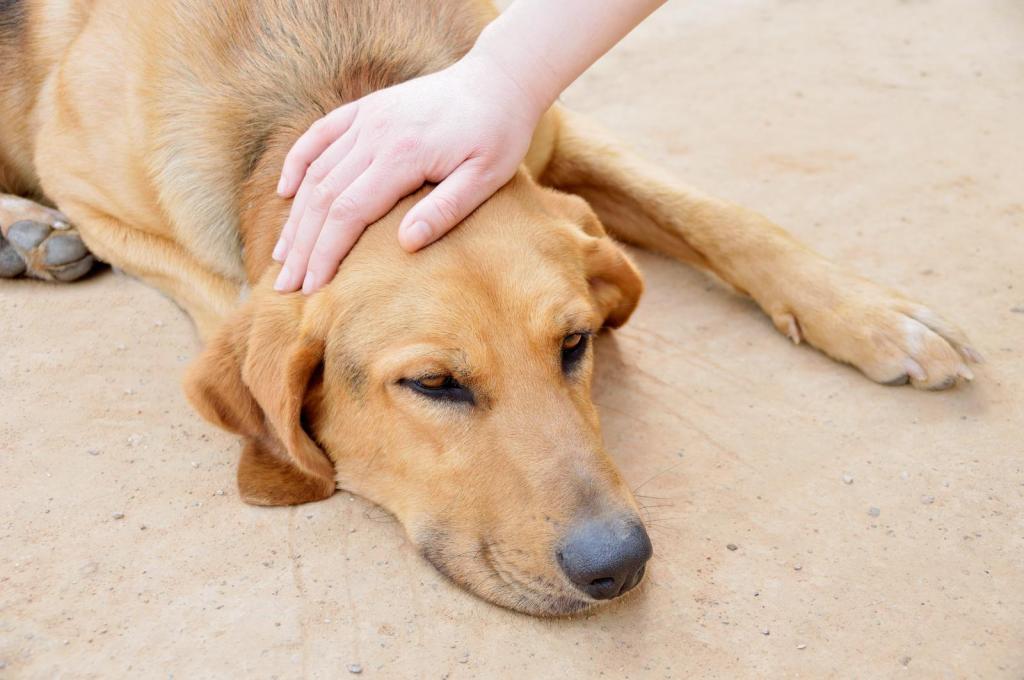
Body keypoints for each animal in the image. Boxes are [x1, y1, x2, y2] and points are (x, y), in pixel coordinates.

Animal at [0, 0, 978, 614]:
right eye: (434, 385)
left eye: (576, 342)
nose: (619, 566)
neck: (340, 84)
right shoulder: (95, 194)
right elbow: (230, 299)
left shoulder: (526, 123)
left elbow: (715, 214)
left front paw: (874, 314)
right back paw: (26, 232)